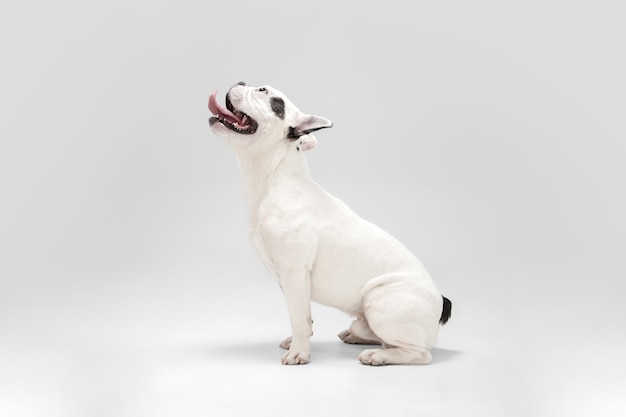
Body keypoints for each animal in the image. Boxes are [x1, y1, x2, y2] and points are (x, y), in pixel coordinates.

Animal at [208, 81, 448, 364]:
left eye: (264, 92)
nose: (242, 82)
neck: (273, 175)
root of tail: (441, 304)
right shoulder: (287, 278)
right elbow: (302, 314)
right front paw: (296, 341)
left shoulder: (294, 271)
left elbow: (298, 316)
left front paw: (299, 352)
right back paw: (358, 337)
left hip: (379, 301)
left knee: (419, 353)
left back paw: (378, 356)